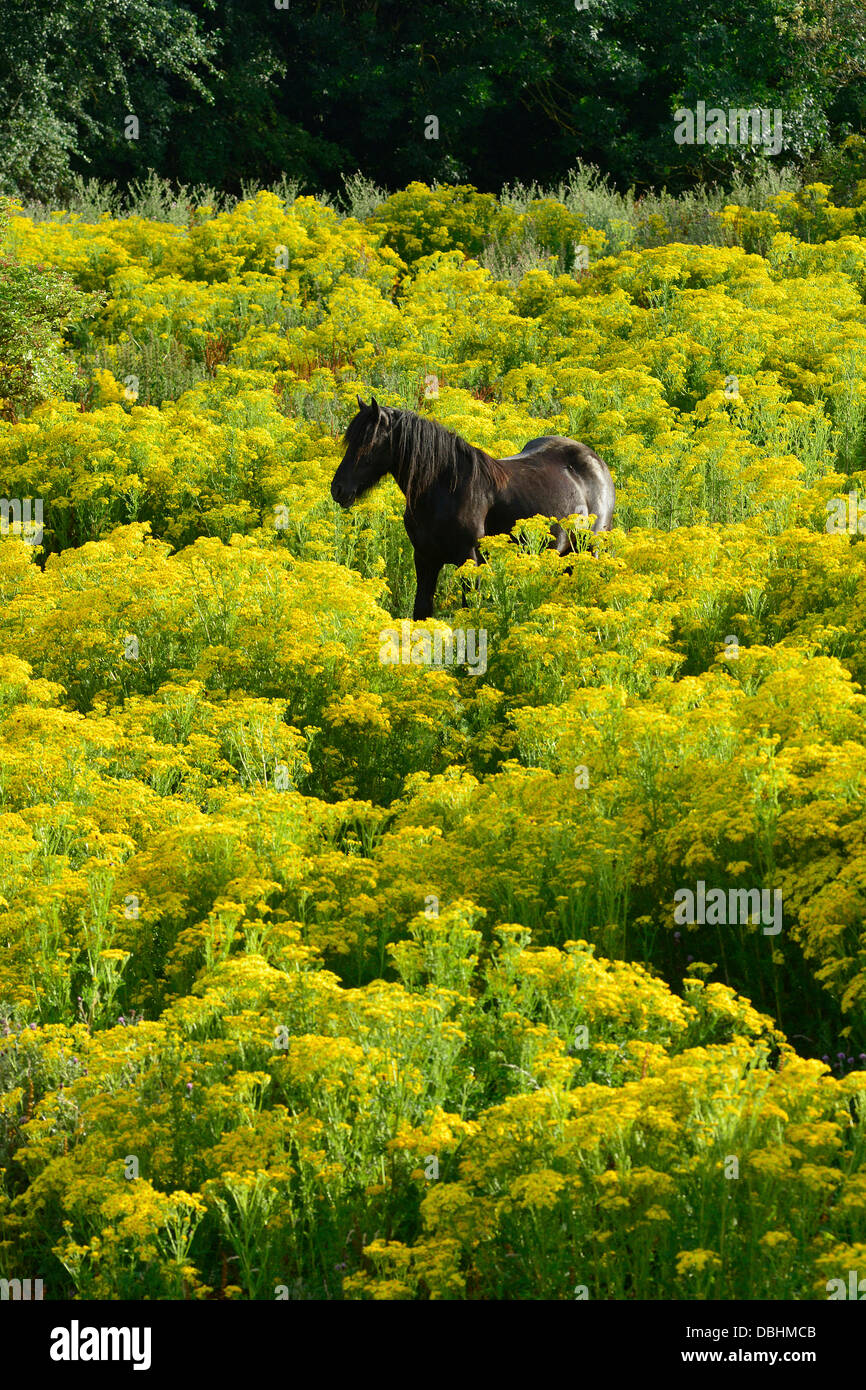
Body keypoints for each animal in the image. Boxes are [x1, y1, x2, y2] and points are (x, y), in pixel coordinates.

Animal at [328, 400, 614, 622]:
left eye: (367, 444)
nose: (338, 489)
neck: (443, 488)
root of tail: (596, 462)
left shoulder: (469, 559)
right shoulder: (425, 559)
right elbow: (422, 610)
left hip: (591, 550)